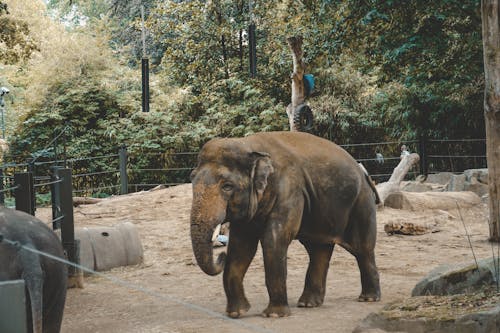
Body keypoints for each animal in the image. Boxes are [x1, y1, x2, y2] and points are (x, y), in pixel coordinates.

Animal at [189, 130, 380, 316]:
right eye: (192, 181)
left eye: (227, 186)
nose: (221, 256)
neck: (249, 144)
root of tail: (363, 171)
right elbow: (240, 247)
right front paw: (237, 313)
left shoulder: (290, 190)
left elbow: (273, 239)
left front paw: (275, 314)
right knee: (319, 250)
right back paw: (308, 304)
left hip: (361, 202)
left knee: (362, 248)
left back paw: (368, 298)